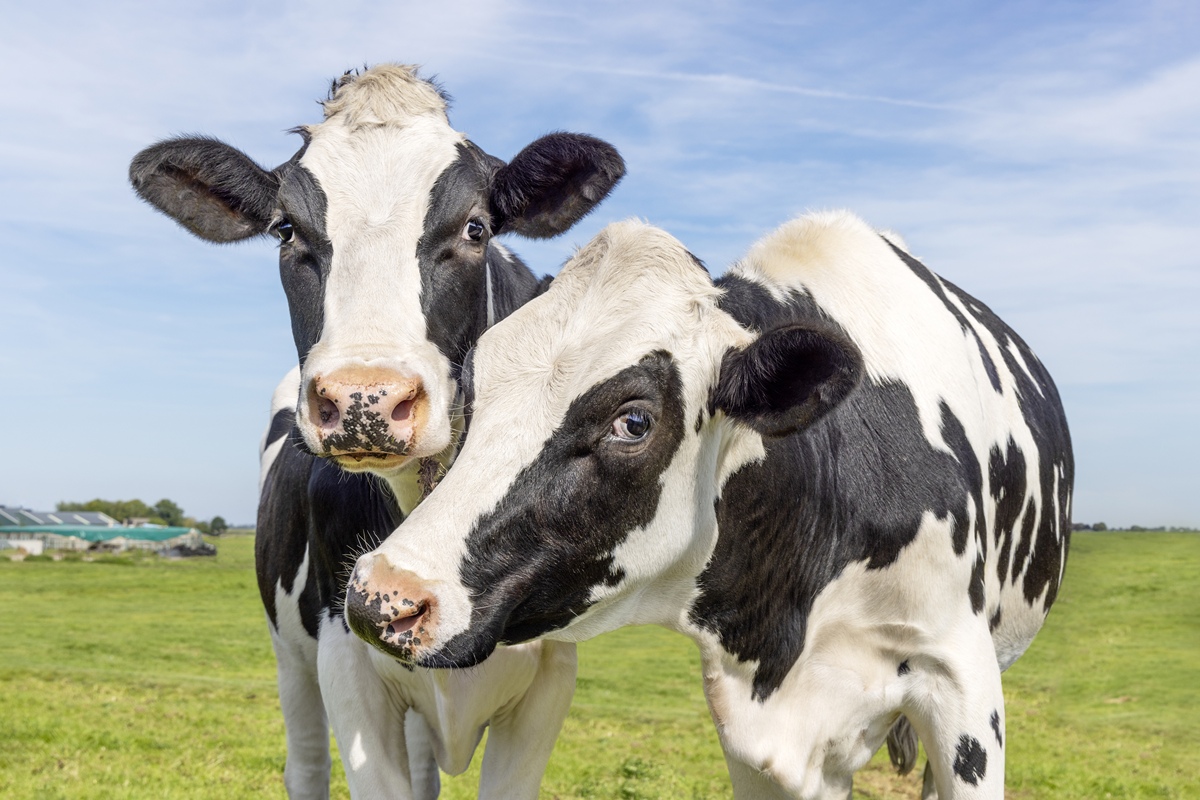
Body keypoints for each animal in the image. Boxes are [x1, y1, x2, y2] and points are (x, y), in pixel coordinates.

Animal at [129, 64, 624, 799]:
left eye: (476, 227)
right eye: (285, 229)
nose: (366, 398)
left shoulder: (550, 673)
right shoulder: (344, 656)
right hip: (290, 653)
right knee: (305, 764)